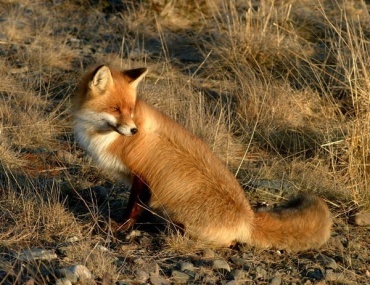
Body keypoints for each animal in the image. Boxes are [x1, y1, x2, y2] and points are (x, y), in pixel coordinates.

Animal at [73, 65, 332, 250]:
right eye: (116, 109)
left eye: (130, 110)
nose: (134, 130)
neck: (108, 137)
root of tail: (248, 218)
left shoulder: (143, 176)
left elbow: (134, 208)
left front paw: (120, 227)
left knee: (227, 242)